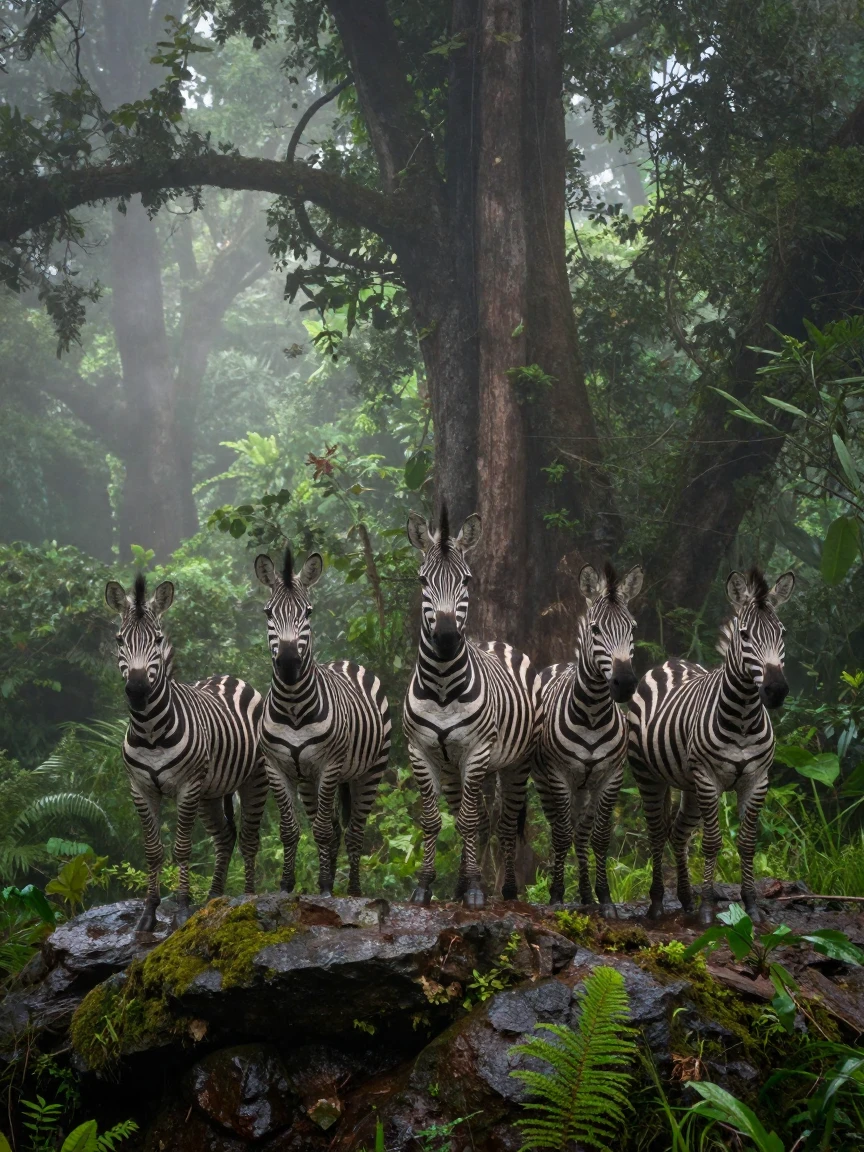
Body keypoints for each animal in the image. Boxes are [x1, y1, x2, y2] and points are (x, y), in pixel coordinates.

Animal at [105, 575, 268, 933]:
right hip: (211, 792)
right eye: (120, 639)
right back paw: (213, 899)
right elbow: (153, 851)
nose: (137, 691)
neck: (150, 731)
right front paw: (149, 913)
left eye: (157, 639)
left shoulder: (186, 787)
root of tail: (229, 677)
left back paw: (248, 899)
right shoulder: (140, 789)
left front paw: (180, 911)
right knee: (224, 837)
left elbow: (181, 848)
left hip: (254, 779)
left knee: (249, 839)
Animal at [254, 547, 391, 896]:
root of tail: (346, 662)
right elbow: (291, 830)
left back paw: (353, 889)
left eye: (308, 612)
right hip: (309, 780)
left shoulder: (329, 765)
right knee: (333, 825)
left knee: (354, 830)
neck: (293, 708)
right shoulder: (276, 768)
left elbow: (323, 831)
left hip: (369, 771)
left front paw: (328, 886)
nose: (289, 663)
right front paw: (287, 884)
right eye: (268, 613)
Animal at [403, 507, 541, 909]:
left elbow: (467, 822)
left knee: (504, 823)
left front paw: (478, 890)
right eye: (423, 580)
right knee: (479, 818)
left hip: (514, 763)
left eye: (466, 580)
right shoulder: (420, 752)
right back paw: (461, 886)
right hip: (456, 769)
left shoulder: (477, 750)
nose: (447, 638)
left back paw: (506, 890)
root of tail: (496, 642)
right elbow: (435, 821)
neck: (442, 688)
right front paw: (426, 885)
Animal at [533, 562, 643, 912]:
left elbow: (598, 837)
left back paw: (584, 893)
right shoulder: (558, 775)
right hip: (545, 780)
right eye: (595, 629)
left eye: (632, 628)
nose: (625, 683)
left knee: (580, 834)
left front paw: (603, 897)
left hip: (585, 786)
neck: (593, 714)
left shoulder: (611, 777)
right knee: (560, 829)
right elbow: (561, 834)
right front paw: (556, 895)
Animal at [628, 567, 795, 924]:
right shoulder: (708, 779)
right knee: (657, 833)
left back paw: (685, 898)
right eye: (744, 634)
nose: (776, 690)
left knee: (678, 833)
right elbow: (712, 842)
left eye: (783, 633)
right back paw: (658, 903)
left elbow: (747, 843)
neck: (743, 716)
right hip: (649, 776)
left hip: (689, 786)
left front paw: (750, 904)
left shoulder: (756, 780)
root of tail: (670, 662)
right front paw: (707, 908)